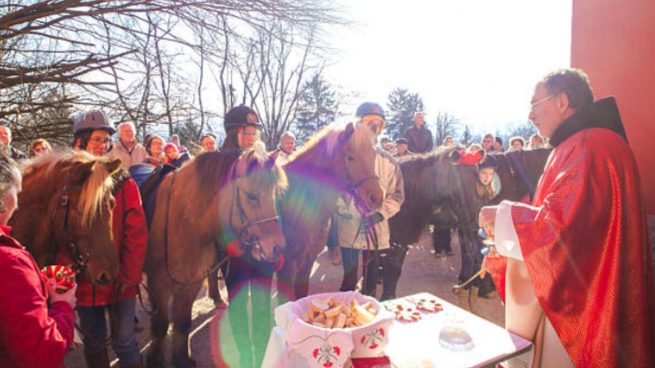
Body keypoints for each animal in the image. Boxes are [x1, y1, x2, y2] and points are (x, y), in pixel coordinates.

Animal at [146, 147, 290, 368]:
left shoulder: (190, 284)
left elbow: (182, 322)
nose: (277, 248)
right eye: (251, 196)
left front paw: (182, 359)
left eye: (275, 194)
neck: (181, 222)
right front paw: (155, 358)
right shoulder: (158, 285)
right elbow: (161, 325)